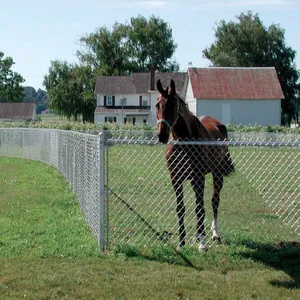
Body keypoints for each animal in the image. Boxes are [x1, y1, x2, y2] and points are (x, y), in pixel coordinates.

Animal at [157, 78, 234, 250]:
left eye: (173, 104)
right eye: (157, 104)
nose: (161, 135)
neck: (184, 142)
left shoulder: (199, 177)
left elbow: (200, 208)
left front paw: (202, 244)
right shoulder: (176, 178)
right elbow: (181, 208)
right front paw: (181, 242)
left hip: (216, 174)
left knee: (214, 201)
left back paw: (214, 234)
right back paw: (197, 235)